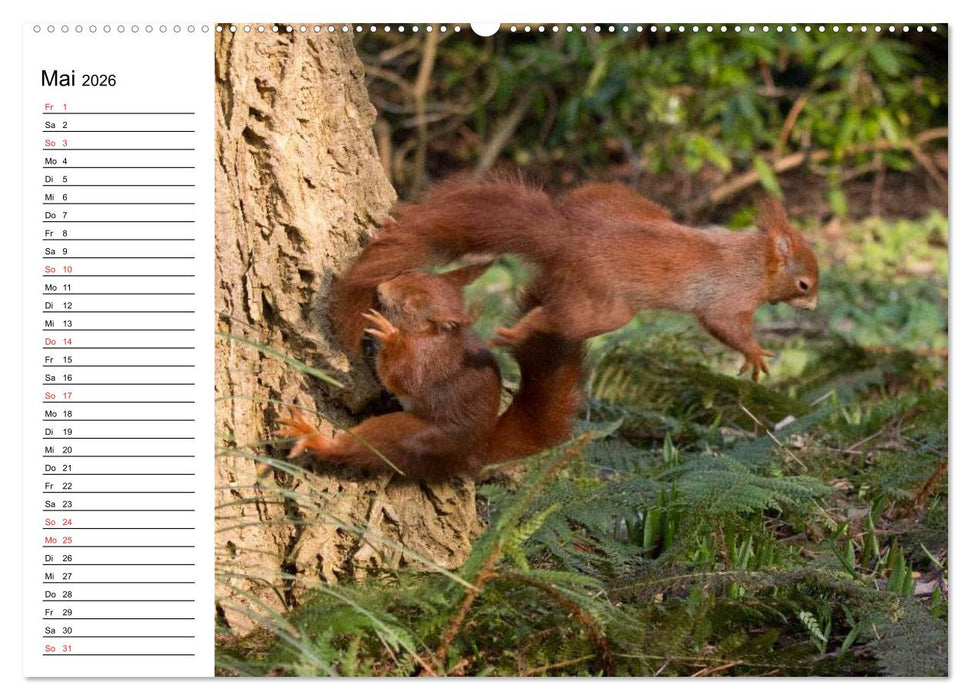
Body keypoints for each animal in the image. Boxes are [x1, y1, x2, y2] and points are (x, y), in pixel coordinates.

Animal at [279, 263, 584, 480]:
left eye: (409, 307)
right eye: (409, 273)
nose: (381, 287)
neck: (428, 336)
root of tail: (472, 454)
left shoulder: (424, 364)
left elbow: (400, 376)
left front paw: (388, 335)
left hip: (416, 437)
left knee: (367, 446)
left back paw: (314, 438)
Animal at [331, 176, 818, 381]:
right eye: (805, 284)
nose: (813, 307)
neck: (756, 259)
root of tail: (569, 237)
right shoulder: (729, 298)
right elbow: (724, 326)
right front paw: (755, 355)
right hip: (602, 304)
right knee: (558, 316)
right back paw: (520, 330)